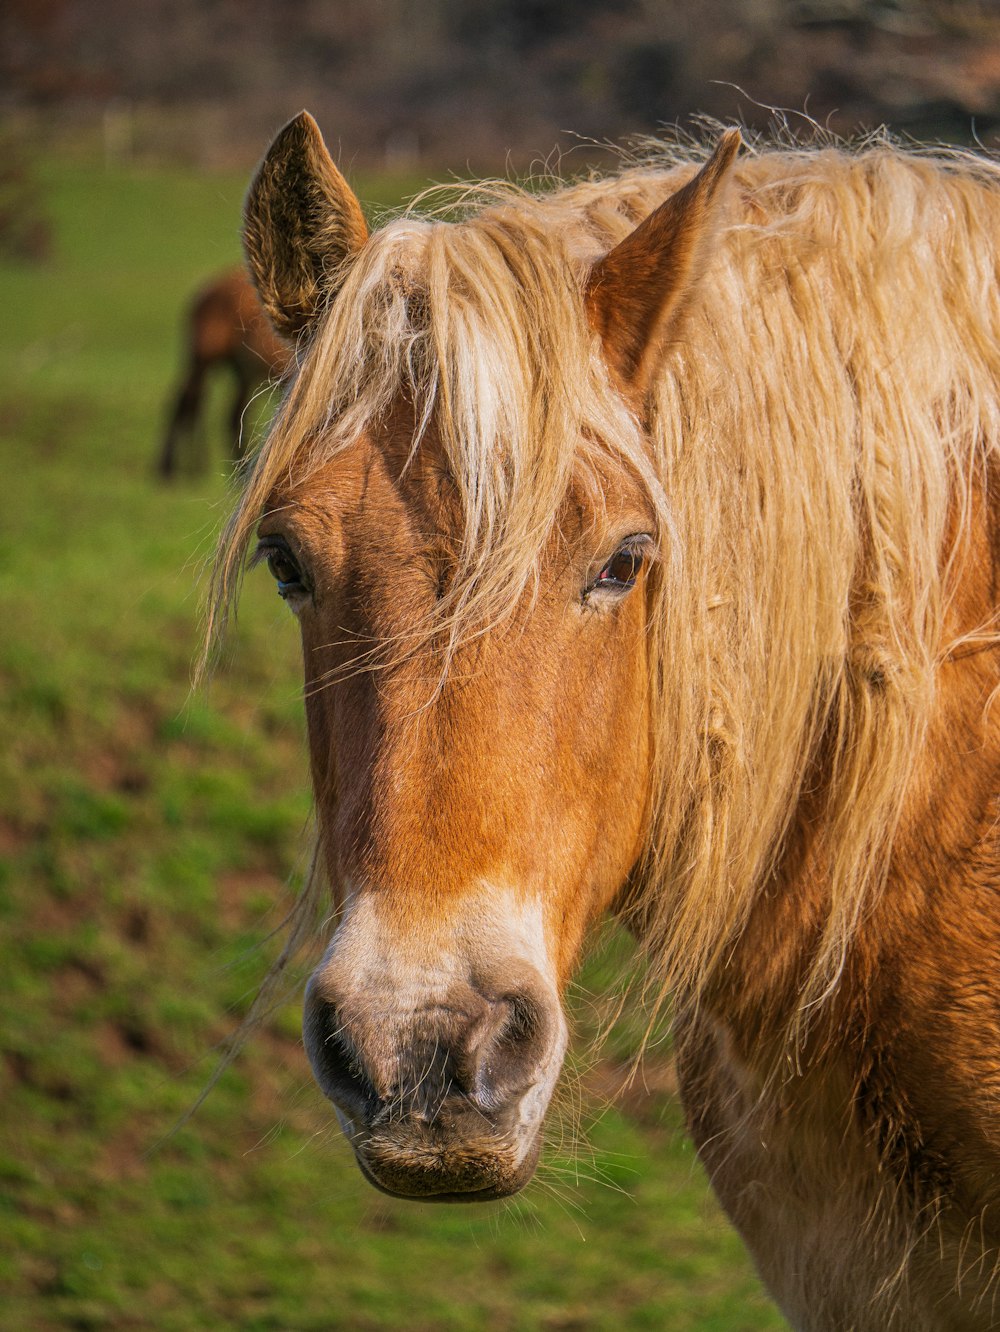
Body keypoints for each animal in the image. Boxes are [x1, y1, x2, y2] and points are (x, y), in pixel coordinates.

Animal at [156, 266, 288, 479]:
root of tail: (206, 287)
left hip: (240, 371)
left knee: (228, 415)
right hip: (202, 360)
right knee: (187, 402)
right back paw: (173, 467)